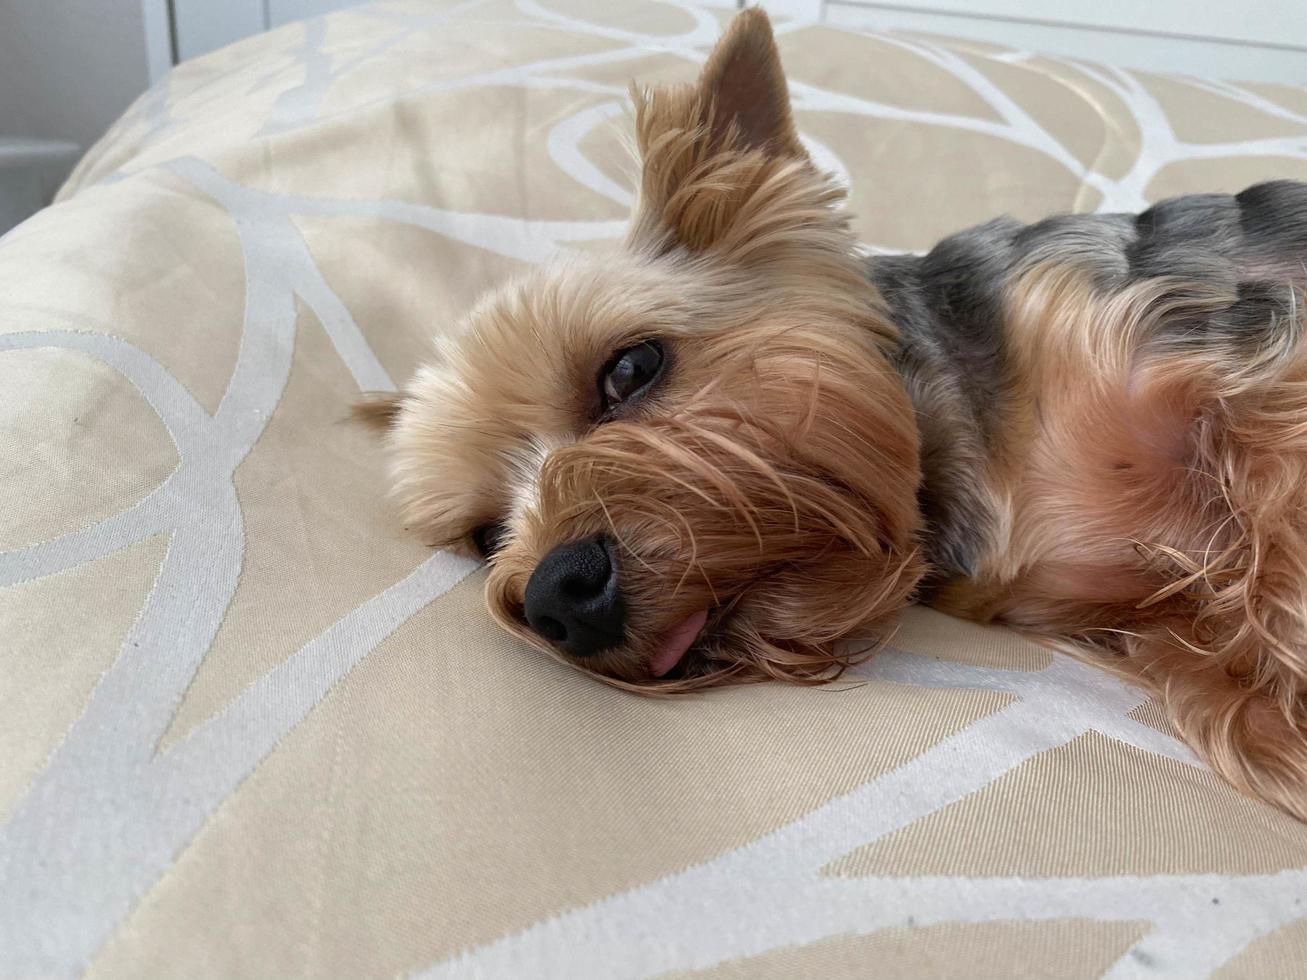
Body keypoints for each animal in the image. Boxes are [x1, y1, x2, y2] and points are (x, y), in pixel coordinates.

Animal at [358, 9, 1307, 820]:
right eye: (486, 536)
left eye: (629, 368)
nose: (558, 595)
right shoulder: (1125, 608)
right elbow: (1218, 677)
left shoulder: (1228, 358)